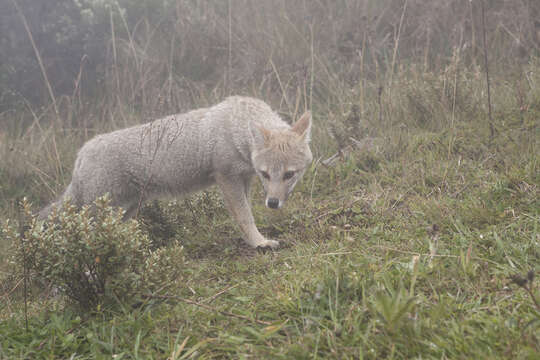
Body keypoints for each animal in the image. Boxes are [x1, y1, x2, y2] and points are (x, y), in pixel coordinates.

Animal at [39, 95, 312, 249]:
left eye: (289, 175)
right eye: (266, 174)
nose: (273, 203)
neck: (236, 125)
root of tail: (81, 153)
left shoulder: (243, 179)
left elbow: (245, 215)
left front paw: (252, 240)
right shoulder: (227, 178)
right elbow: (245, 217)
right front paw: (260, 243)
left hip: (125, 211)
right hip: (103, 213)